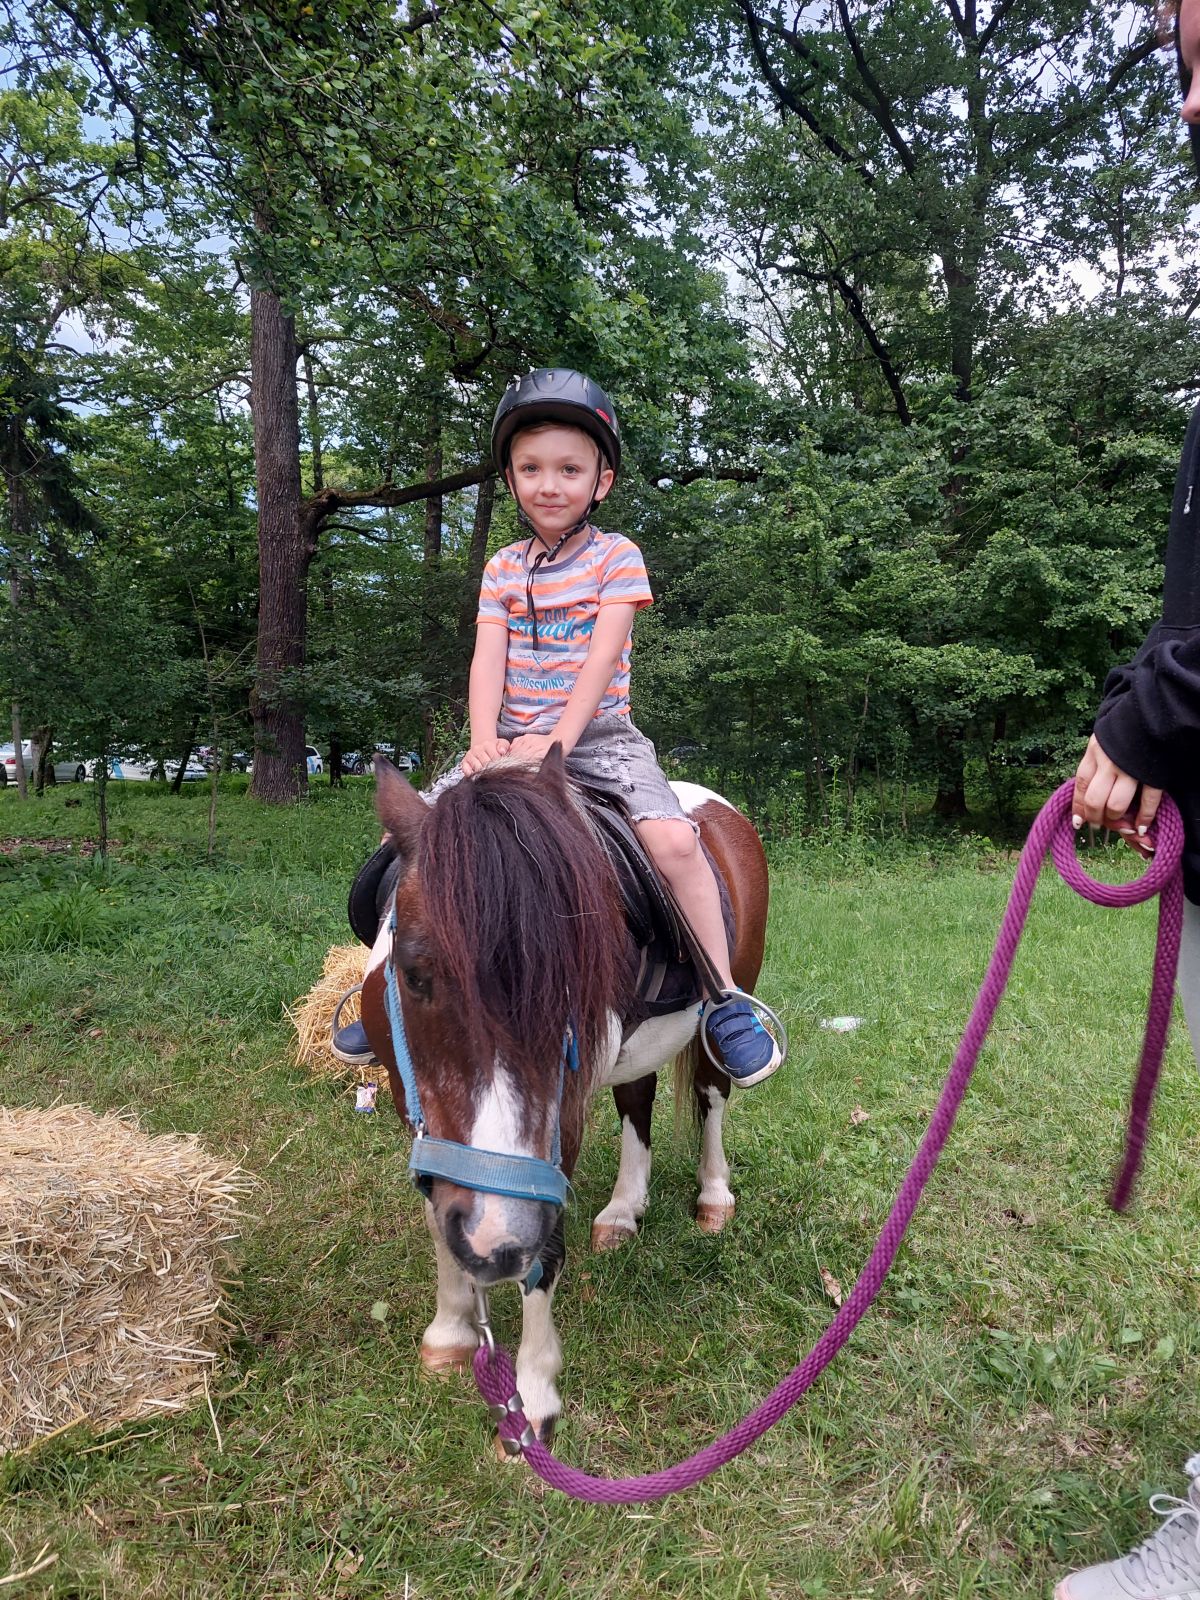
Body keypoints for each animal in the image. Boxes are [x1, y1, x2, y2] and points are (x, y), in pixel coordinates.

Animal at [360, 746, 772, 1440]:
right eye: (415, 974)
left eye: (573, 979)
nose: (495, 1243)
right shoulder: (412, 1104)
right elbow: (437, 1214)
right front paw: (450, 1333)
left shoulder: (561, 1113)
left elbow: (544, 1250)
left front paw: (532, 1395)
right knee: (637, 1100)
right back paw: (623, 1210)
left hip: (723, 1004)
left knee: (712, 1093)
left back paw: (714, 1197)